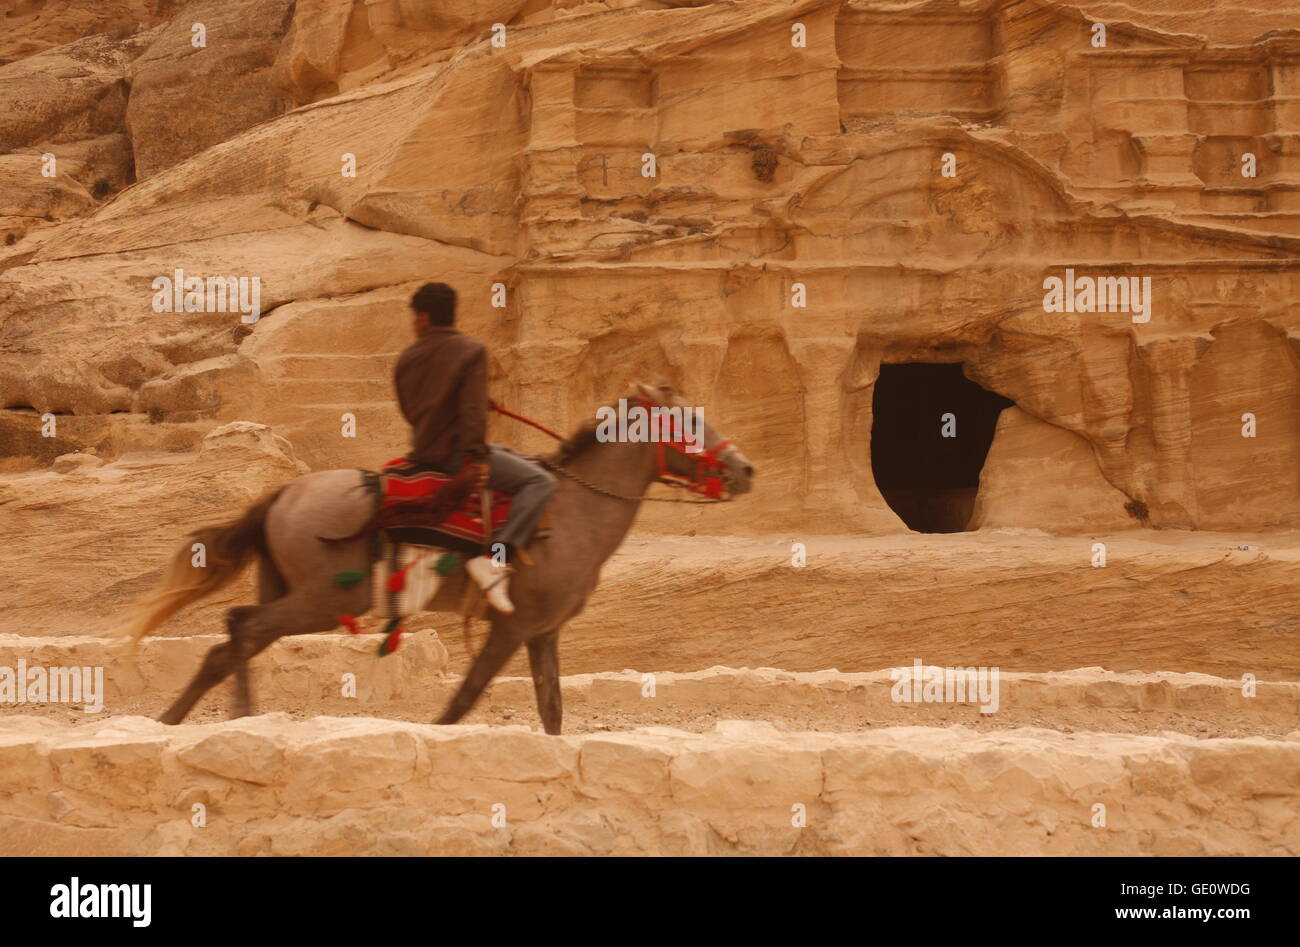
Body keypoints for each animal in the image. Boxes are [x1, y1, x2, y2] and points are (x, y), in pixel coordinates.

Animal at [120, 382, 759, 733]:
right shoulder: (512, 626)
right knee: (238, 631)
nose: (745, 469)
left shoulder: (543, 633)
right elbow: (463, 701)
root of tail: (284, 493)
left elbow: (551, 710)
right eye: (689, 421)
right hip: (322, 601)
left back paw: (204, 720)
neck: (573, 511)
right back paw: (215, 718)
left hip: (295, 595)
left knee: (231, 641)